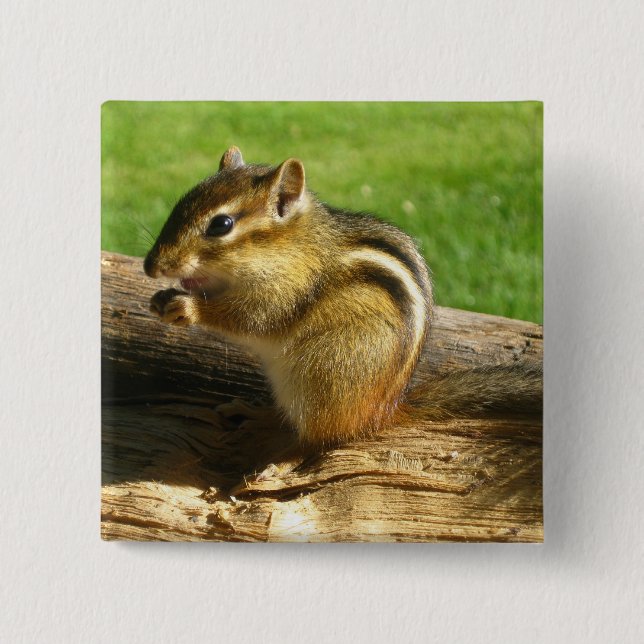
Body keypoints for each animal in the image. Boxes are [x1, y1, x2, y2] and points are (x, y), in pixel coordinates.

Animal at [144, 146, 542, 448]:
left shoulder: (287, 291)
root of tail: (383, 411)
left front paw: (187, 307)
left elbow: (252, 318)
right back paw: (256, 412)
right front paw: (162, 298)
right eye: (180, 204)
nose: (151, 267)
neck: (290, 246)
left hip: (324, 373)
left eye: (221, 225)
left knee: (316, 437)